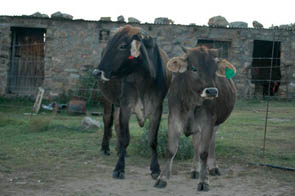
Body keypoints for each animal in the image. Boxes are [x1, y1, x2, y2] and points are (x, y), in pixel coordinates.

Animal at [156, 46, 237, 191]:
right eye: (194, 68)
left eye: (215, 70)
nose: (212, 91)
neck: (191, 103)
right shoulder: (173, 120)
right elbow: (171, 150)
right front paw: (162, 178)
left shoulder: (208, 123)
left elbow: (204, 152)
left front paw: (204, 181)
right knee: (196, 145)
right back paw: (195, 170)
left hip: (215, 124)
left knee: (211, 143)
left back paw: (213, 168)